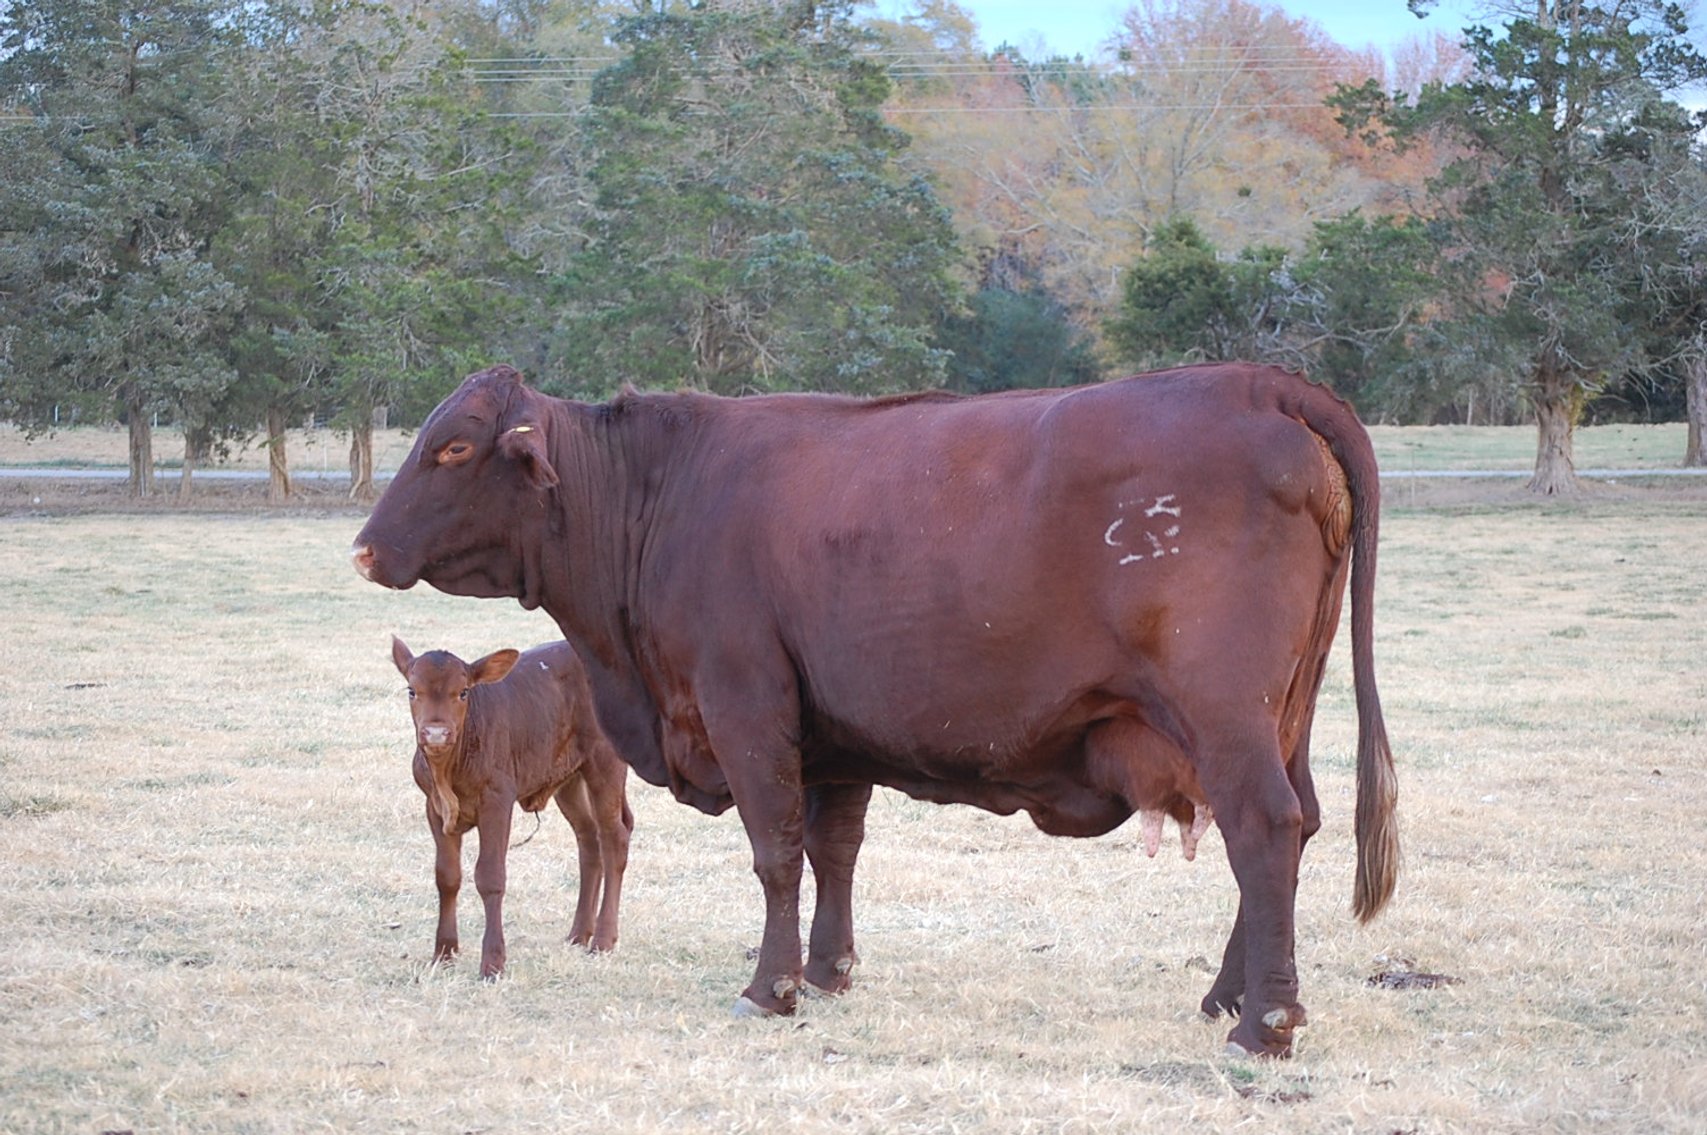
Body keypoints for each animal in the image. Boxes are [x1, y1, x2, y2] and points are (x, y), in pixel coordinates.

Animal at [390, 636, 633, 978]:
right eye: (412, 690)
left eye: (463, 692)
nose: (436, 733)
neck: (448, 773)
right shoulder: (434, 807)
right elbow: (447, 877)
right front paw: (444, 952)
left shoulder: (497, 801)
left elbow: (491, 877)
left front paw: (493, 962)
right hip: (568, 778)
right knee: (589, 839)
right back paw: (578, 933)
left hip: (605, 762)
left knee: (614, 838)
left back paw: (602, 939)